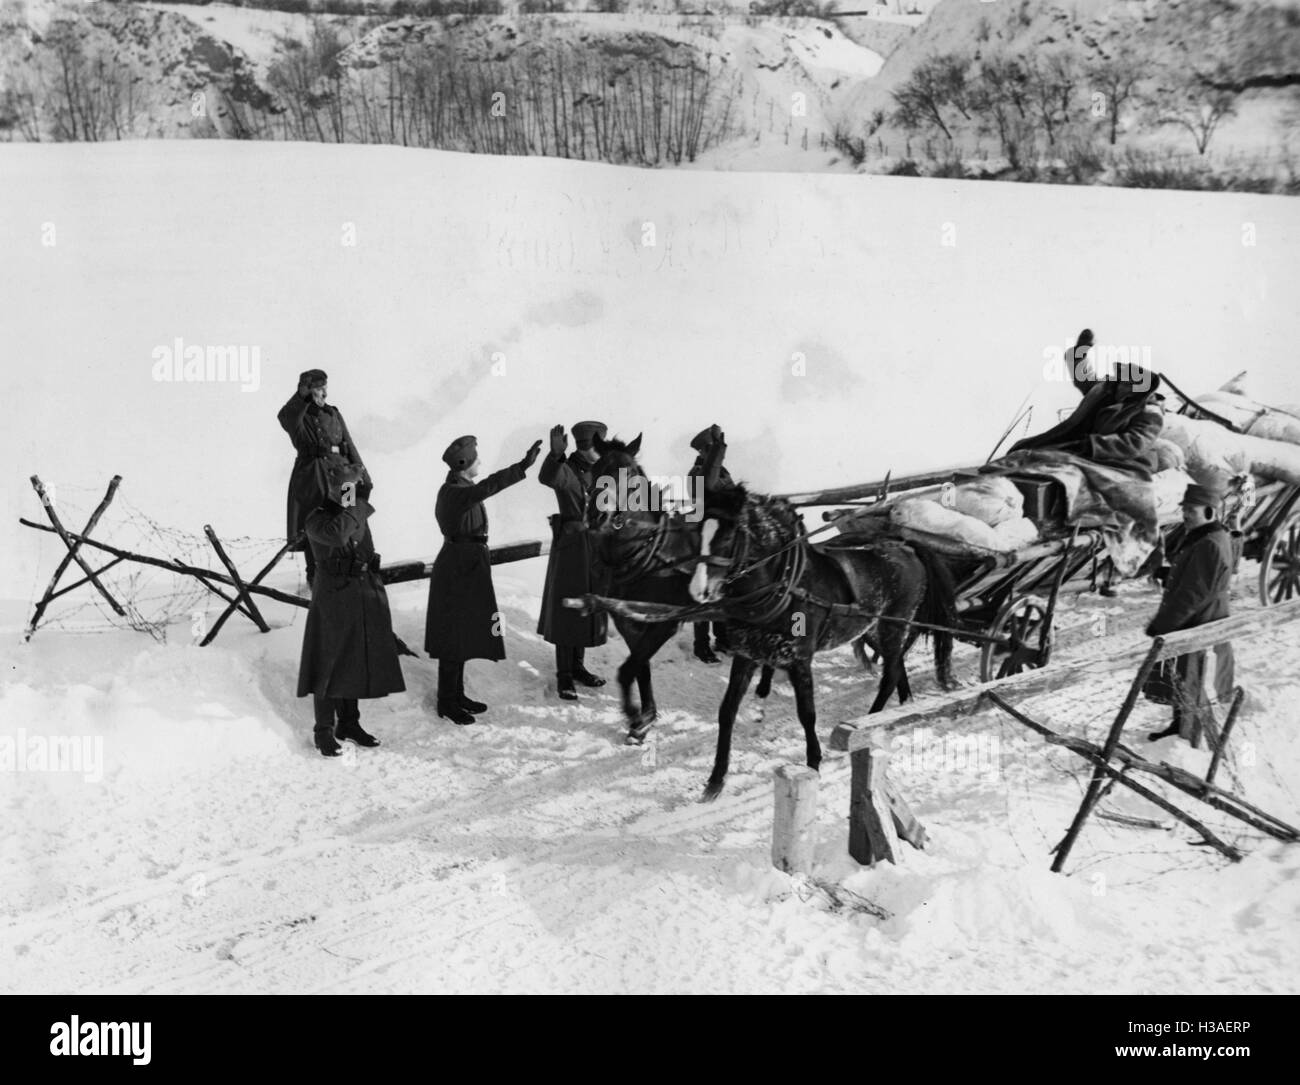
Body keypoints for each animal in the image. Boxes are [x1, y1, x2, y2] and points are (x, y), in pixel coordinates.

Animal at [696, 483, 961, 795]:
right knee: (897, 666)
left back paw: (868, 722)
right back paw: (902, 705)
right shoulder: (747, 655)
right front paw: (716, 779)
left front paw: (813, 762)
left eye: (727, 536)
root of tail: (907, 545)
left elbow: (806, 713)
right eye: (697, 530)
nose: (700, 590)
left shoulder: (799, 659)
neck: (786, 584)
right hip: (874, 628)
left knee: (890, 674)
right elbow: (727, 711)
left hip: (893, 625)